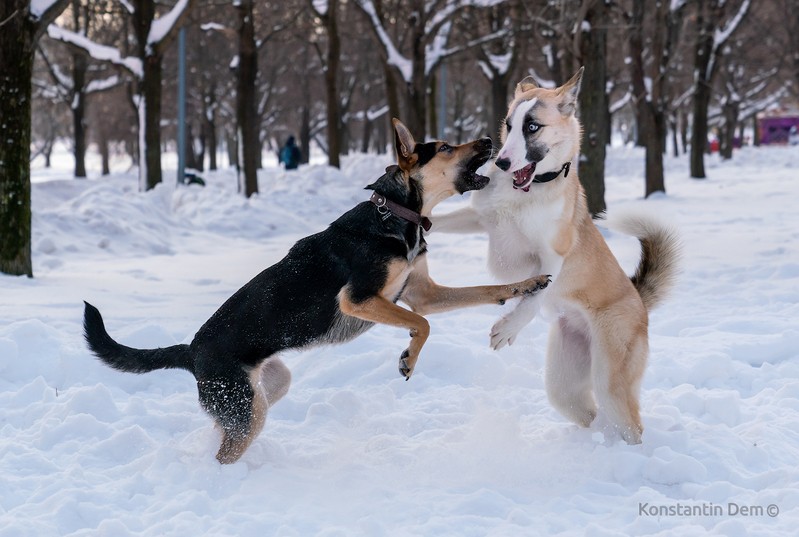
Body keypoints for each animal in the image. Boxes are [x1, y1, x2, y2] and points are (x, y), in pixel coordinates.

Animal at [86, 119, 552, 462]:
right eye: (445, 148)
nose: (490, 138)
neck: (394, 214)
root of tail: (191, 351)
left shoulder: (423, 292)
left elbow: (485, 289)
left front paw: (529, 283)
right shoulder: (361, 299)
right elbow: (421, 324)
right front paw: (408, 358)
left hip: (266, 388)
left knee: (223, 431)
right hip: (246, 407)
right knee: (225, 452)